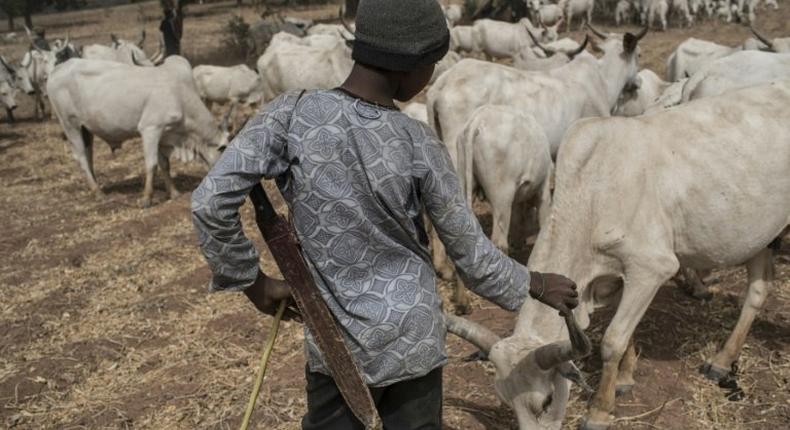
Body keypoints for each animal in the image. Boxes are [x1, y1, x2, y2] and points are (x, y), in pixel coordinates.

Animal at [47, 56, 229, 207]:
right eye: (224, 150)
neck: (179, 96)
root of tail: (58, 69)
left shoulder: (164, 135)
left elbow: (164, 164)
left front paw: (173, 192)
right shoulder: (150, 129)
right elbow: (152, 164)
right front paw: (146, 198)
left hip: (86, 129)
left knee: (88, 154)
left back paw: (96, 185)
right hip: (70, 124)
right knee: (81, 158)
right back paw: (97, 192)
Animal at [448, 80, 788, 430]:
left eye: (546, 401)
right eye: (507, 403)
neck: (594, 192)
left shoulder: (652, 268)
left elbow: (612, 340)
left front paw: (599, 410)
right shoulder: (620, 274)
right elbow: (628, 332)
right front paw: (624, 378)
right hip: (763, 235)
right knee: (758, 290)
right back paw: (722, 360)